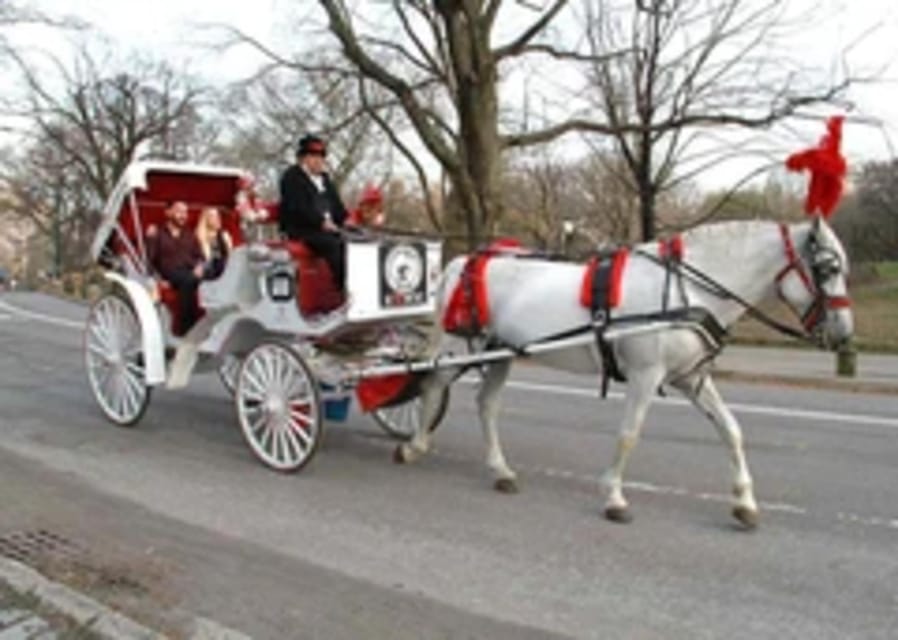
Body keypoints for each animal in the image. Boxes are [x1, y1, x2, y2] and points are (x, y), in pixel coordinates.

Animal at [396, 218, 852, 528]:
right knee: (432, 383)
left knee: (487, 404)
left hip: (500, 352)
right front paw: (613, 496)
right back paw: (415, 445)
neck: (688, 289)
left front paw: (744, 502)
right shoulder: (645, 376)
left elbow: (731, 430)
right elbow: (629, 434)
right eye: (827, 269)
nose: (844, 335)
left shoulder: (692, 379)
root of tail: (466, 261)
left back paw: (500, 470)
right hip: (460, 349)